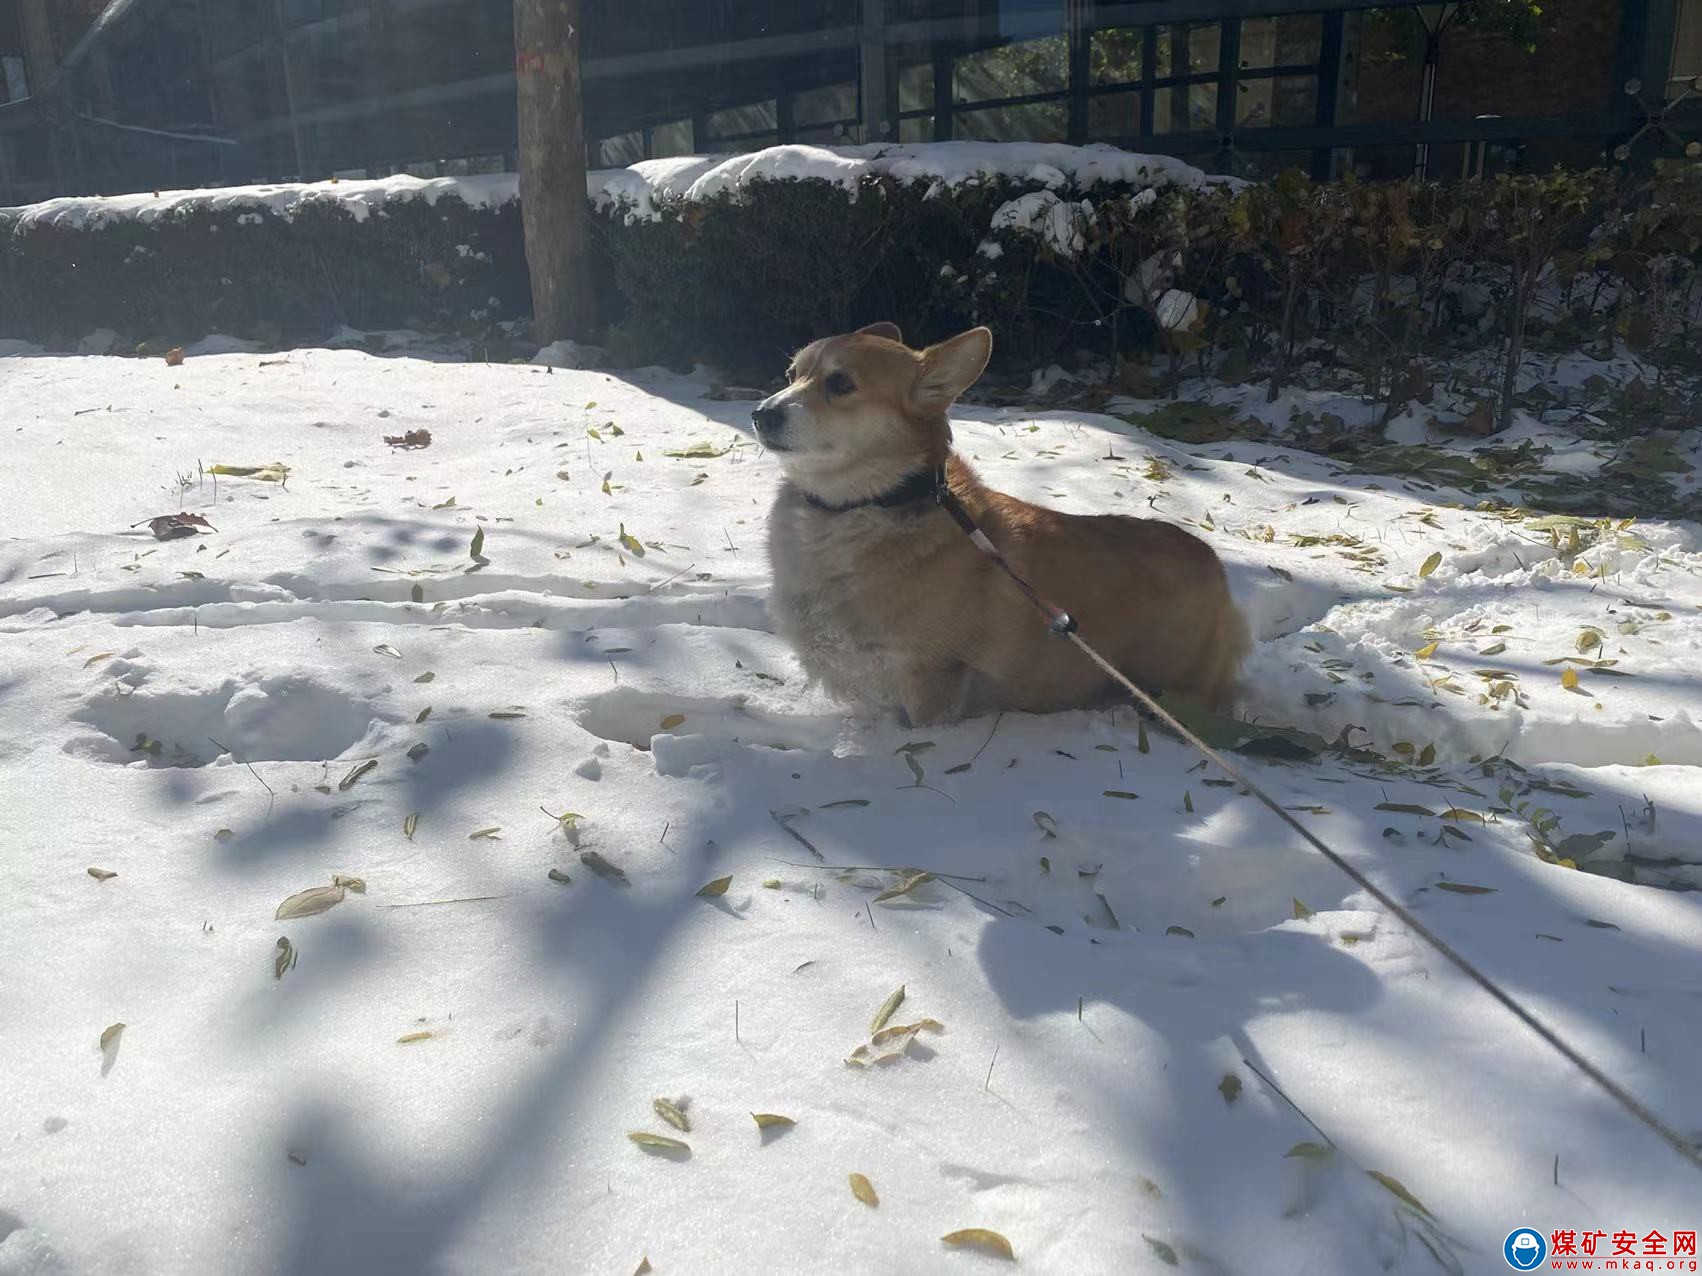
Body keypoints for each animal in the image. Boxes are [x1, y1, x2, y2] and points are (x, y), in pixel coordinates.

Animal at [759, 324, 1252, 724]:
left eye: (840, 383)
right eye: (791, 374)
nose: (760, 414)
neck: (861, 506)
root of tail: (1215, 564)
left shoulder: (930, 677)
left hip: (1180, 687)